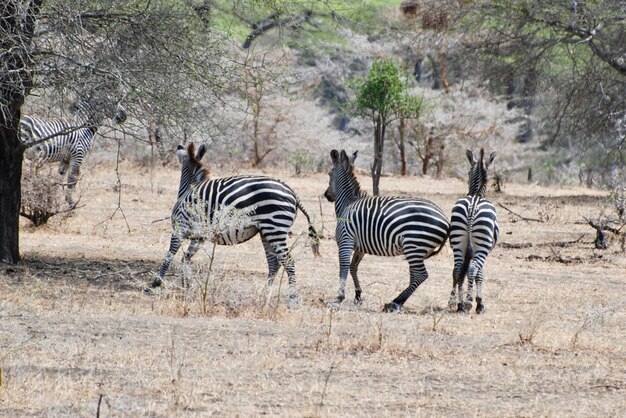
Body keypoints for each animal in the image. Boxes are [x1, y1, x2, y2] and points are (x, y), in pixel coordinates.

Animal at [150, 143, 316, 304]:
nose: (179, 146)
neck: (189, 189)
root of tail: (292, 192)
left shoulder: (180, 227)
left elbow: (170, 255)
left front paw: (156, 283)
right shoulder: (199, 237)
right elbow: (185, 259)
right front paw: (188, 284)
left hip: (275, 227)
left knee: (288, 261)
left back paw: (293, 298)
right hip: (266, 231)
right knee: (274, 263)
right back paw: (264, 294)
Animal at [322, 149, 448, 312]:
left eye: (329, 173)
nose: (326, 195)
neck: (347, 203)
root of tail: (445, 218)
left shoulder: (345, 241)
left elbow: (343, 268)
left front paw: (339, 297)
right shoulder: (360, 247)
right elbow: (353, 267)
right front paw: (358, 295)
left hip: (413, 245)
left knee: (421, 275)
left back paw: (395, 302)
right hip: (416, 250)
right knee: (415, 275)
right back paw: (398, 302)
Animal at [446, 149, 500, 312]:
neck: (476, 193)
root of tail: (473, 205)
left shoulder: (468, 251)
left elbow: (461, 273)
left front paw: (457, 301)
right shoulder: (481, 250)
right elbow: (479, 274)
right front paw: (479, 302)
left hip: (458, 241)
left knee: (457, 269)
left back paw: (456, 303)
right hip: (482, 245)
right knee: (472, 268)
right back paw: (469, 302)